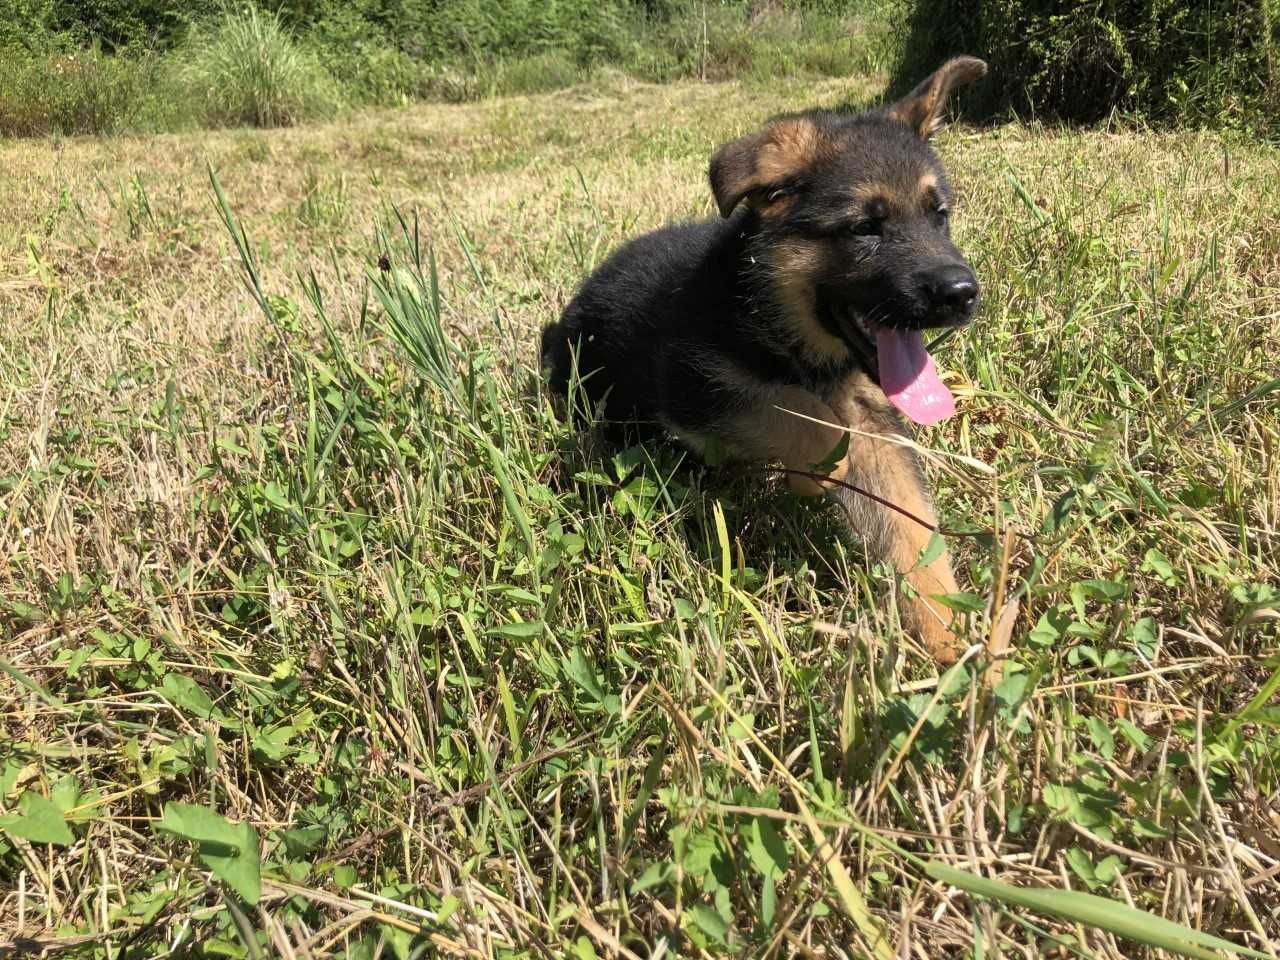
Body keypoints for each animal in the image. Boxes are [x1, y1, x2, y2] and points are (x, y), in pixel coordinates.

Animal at [540, 56, 988, 665]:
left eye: (938, 215)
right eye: (864, 227)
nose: (962, 293)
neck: (769, 311)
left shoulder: (874, 423)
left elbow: (910, 525)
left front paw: (948, 640)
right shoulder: (692, 386)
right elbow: (798, 416)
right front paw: (816, 472)